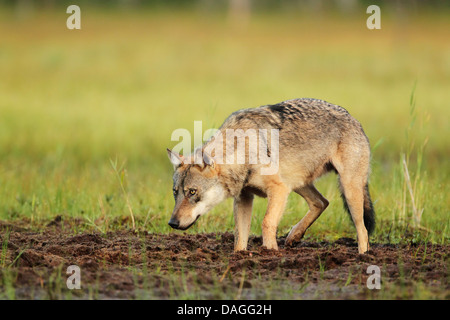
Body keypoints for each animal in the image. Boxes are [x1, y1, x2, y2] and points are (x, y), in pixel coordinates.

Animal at [167, 99, 374, 254]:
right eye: (175, 192)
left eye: (192, 192)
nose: (172, 223)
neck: (243, 150)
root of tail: (352, 117)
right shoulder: (244, 197)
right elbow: (239, 236)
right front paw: (240, 256)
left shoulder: (278, 190)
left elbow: (267, 222)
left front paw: (270, 251)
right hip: (297, 183)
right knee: (321, 202)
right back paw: (294, 235)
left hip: (348, 190)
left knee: (362, 229)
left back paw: (363, 256)